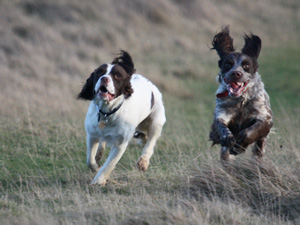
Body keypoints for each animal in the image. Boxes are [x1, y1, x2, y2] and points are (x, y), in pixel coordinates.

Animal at [77, 51, 166, 186]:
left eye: (117, 76)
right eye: (99, 72)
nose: (104, 78)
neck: (108, 112)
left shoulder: (120, 144)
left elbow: (109, 164)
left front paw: (98, 181)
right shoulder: (92, 134)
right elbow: (90, 160)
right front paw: (96, 166)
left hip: (156, 120)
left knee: (150, 142)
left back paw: (143, 161)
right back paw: (100, 153)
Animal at [210, 26, 274, 162]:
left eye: (246, 65)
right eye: (227, 64)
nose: (235, 73)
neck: (241, 100)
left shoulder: (265, 117)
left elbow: (250, 131)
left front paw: (239, 145)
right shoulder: (222, 113)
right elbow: (221, 126)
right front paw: (228, 138)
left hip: (261, 144)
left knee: (258, 152)